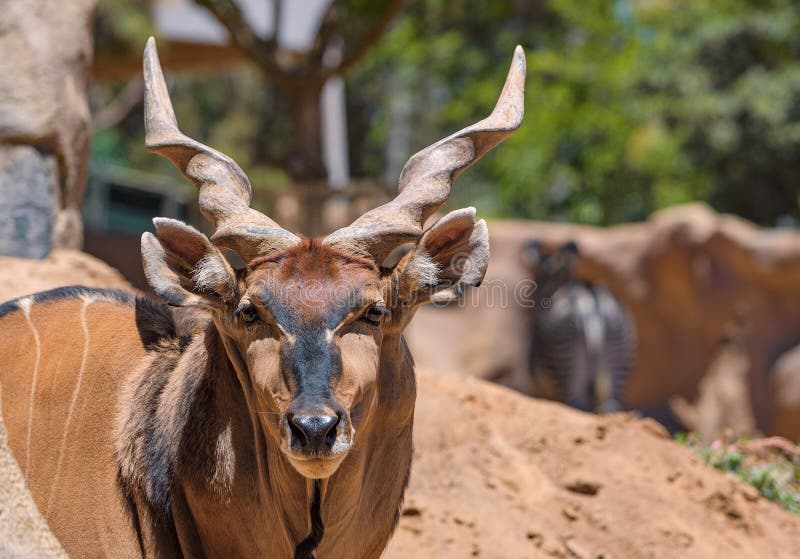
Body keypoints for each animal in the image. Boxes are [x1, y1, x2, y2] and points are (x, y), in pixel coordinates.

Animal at [520, 238, 636, 414]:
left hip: (566, 359)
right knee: (611, 406)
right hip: (618, 355)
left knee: (576, 405)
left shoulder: (540, 387)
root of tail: (593, 302)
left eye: (536, 279)